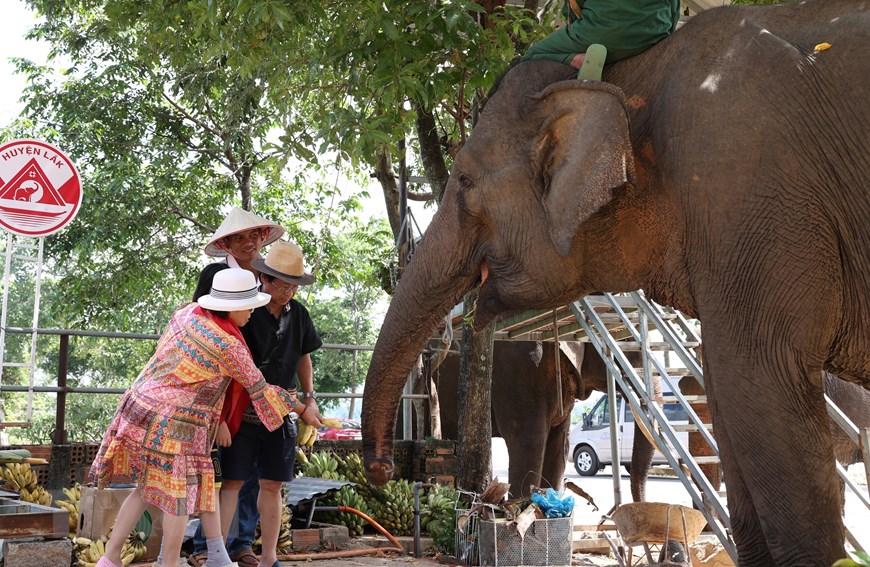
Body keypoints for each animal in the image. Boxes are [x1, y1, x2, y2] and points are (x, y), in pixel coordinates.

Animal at [362, 2, 870, 564]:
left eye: (466, 182)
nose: (384, 469)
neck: (635, 78)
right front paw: (527, 509)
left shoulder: (750, 197)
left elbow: (759, 385)